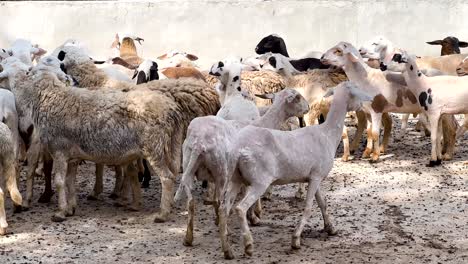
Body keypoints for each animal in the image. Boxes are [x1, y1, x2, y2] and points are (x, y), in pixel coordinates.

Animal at [0, 54, 220, 223]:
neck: (50, 97)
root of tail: (171, 109)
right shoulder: (72, 156)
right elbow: (70, 182)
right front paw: (70, 208)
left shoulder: (60, 150)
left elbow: (60, 181)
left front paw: (60, 212)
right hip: (169, 145)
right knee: (173, 174)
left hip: (154, 147)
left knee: (167, 178)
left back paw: (162, 214)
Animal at [218, 81, 374, 258]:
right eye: (356, 89)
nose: (364, 104)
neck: (327, 133)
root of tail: (238, 150)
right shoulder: (316, 177)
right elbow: (308, 208)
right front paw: (296, 239)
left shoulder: (315, 176)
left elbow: (323, 203)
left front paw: (331, 228)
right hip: (259, 181)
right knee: (239, 208)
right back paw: (248, 245)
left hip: (236, 179)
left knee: (223, 208)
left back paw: (227, 250)